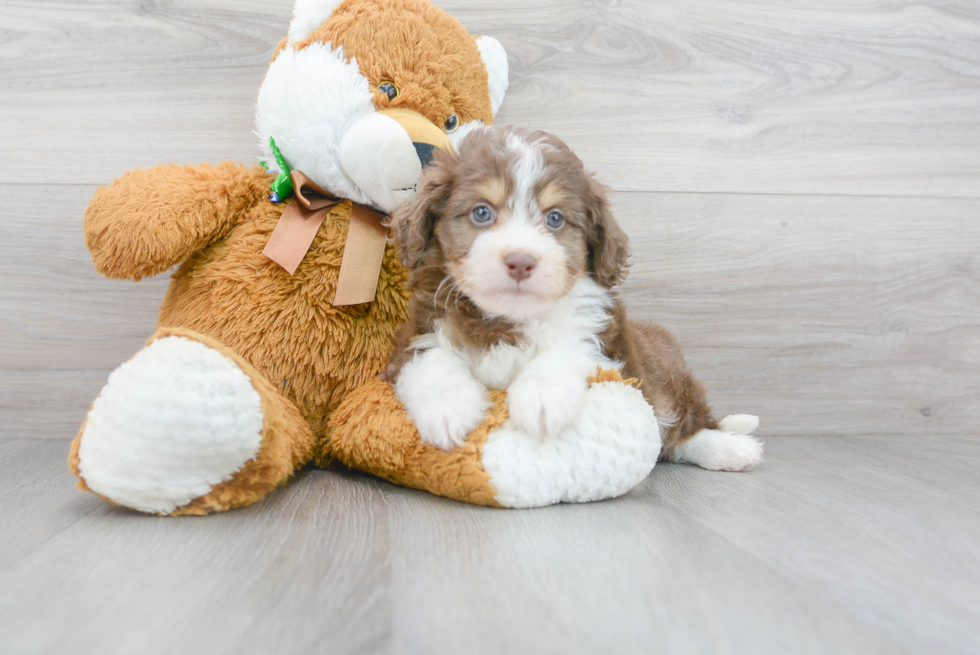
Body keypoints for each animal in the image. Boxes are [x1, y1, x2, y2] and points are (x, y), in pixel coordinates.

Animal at [386, 125, 760, 472]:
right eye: (481, 213)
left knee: (680, 425)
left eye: (555, 218)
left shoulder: (606, 350)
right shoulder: (414, 334)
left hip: (663, 369)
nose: (520, 260)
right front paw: (448, 408)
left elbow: (566, 352)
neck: (510, 318)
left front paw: (542, 398)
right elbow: (431, 357)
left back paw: (729, 447)